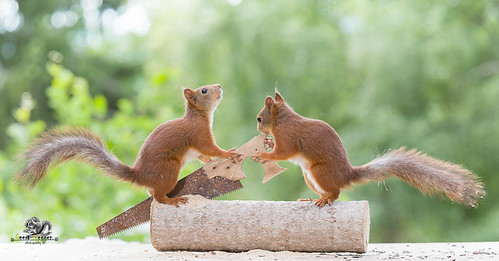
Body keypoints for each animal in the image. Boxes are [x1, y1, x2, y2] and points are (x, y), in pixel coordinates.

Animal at [16, 83, 242, 205]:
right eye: (204, 91)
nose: (219, 86)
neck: (199, 116)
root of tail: (140, 175)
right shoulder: (198, 135)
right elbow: (211, 148)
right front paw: (228, 153)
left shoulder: (196, 150)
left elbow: (204, 156)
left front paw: (212, 163)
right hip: (169, 169)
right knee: (157, 197)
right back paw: (172, 200)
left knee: (151, 193)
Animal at [254, 90, 484, 206]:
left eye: (259, 118)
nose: (257, 127)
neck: (282, 119)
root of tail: (346, 175)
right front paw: (267, 144)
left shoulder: (289, 136)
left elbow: (285, 152)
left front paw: (263, 154)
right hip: (309, 177)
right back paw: (314, 198)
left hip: (319, 171)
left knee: (336, 193)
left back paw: (326, 200)